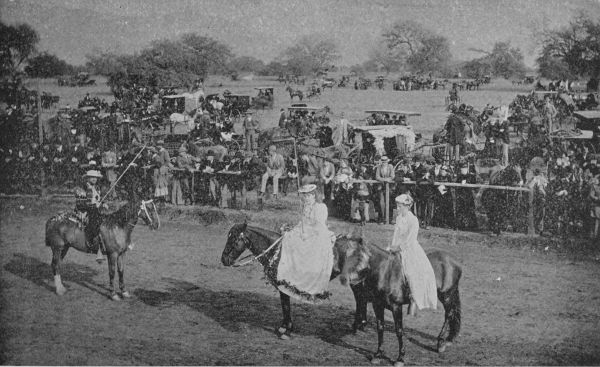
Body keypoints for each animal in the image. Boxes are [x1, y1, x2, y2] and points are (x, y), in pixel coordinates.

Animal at [223, 224, 462, 366]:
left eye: (234, 239)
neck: (279, 252)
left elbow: (285, 306)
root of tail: (454, 261)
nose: (224, 260)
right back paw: (359, 325)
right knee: (361, 301)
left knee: (449, 314)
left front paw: (286, 329)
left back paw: (442, 342)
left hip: (447, 296)